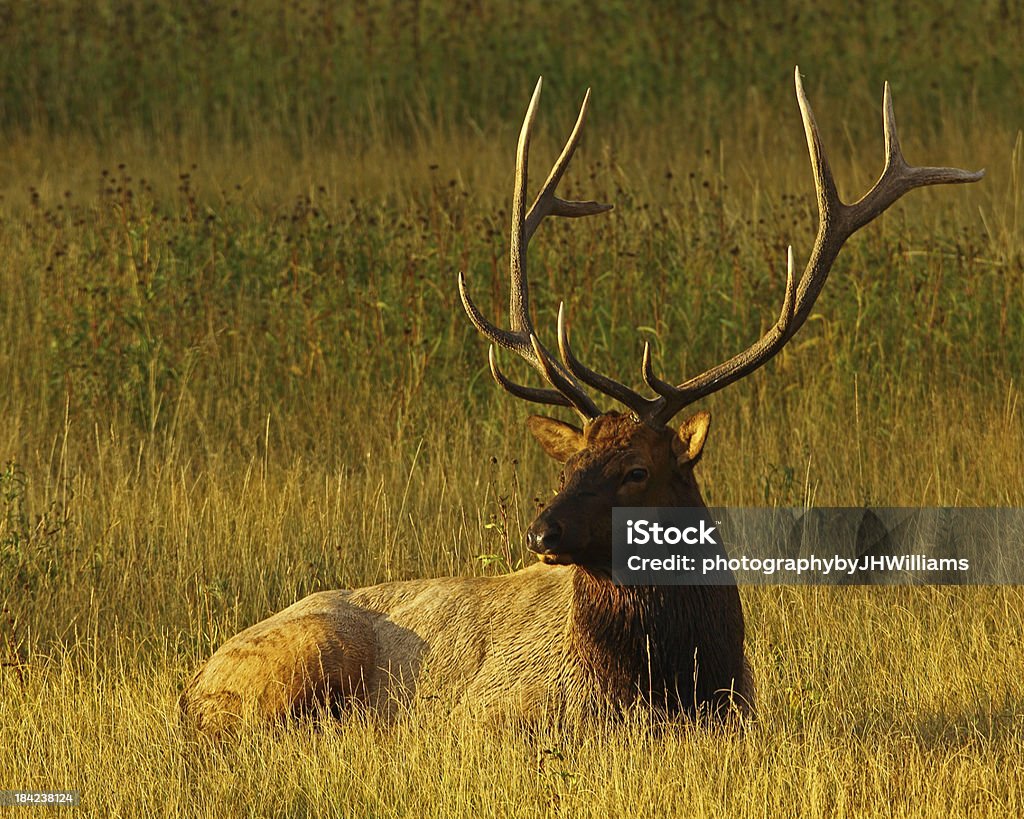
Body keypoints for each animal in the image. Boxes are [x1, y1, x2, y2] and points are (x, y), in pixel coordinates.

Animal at [180, 70, 978, 733]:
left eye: (637, 471)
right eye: (571, 464)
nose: (541, 531)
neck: (669, 683)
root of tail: (190, 684)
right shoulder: (490, 712)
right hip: (299, 659)